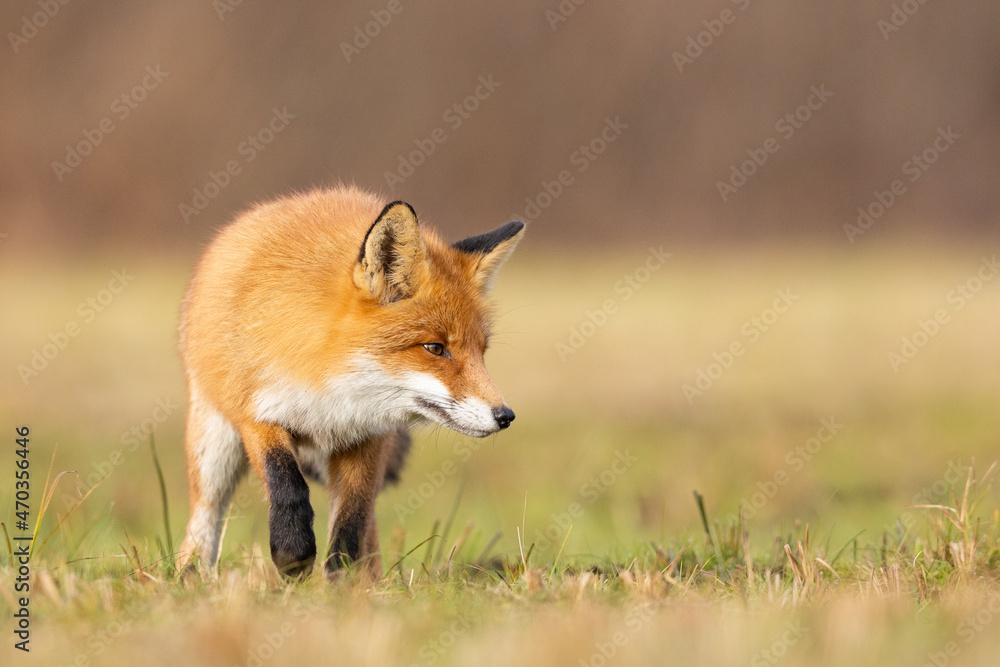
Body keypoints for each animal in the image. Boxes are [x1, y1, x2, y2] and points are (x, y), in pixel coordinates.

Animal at [177, 185, 524, 579]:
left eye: (482, 350)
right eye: (435, 348)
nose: (505, 416)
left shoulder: (366, 436)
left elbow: (351, 521)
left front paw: (343, 583)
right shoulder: (254, 410)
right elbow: (285, 480)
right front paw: (293, 551)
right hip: (213, 444)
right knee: (205, 515)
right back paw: (190, 575)